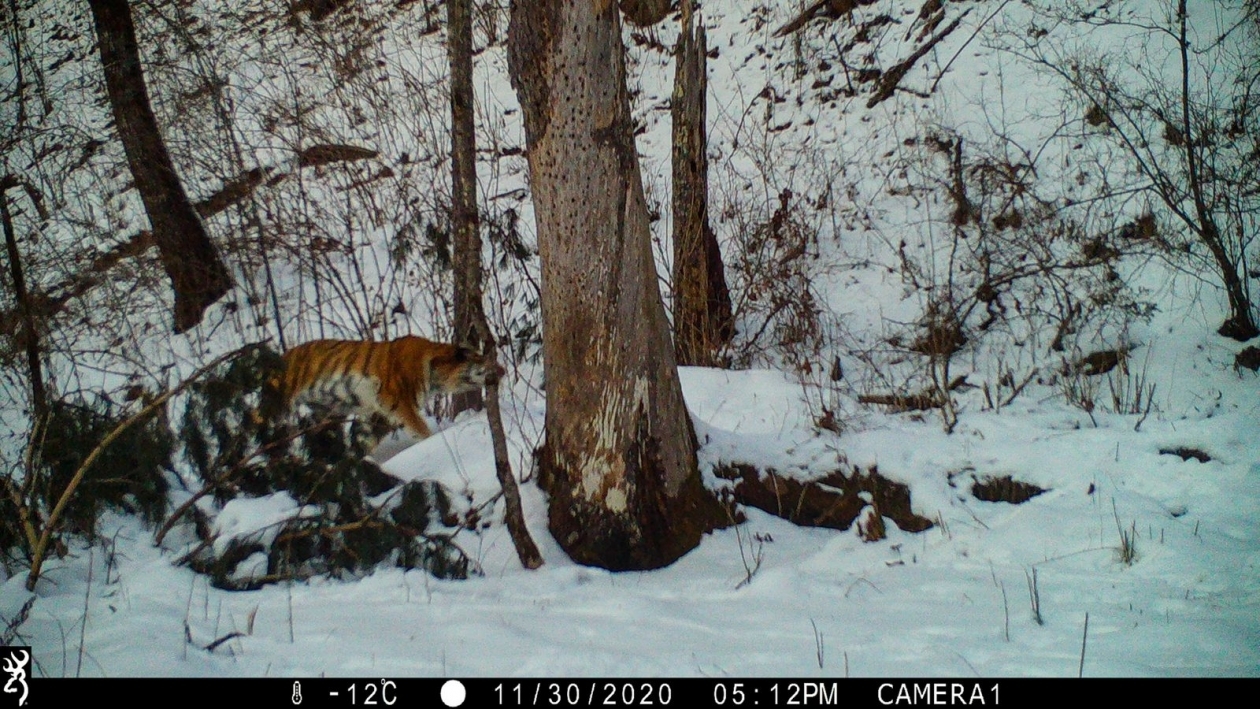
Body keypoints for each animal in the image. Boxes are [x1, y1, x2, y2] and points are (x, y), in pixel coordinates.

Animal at [260, 334, 501, 443]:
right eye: (484, 361)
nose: (503, 369)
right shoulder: (398, 400)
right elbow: (421, 428)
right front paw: (430, 441)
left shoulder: (378, 411)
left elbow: (364, 439)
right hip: (279, 403)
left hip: (325, 413)